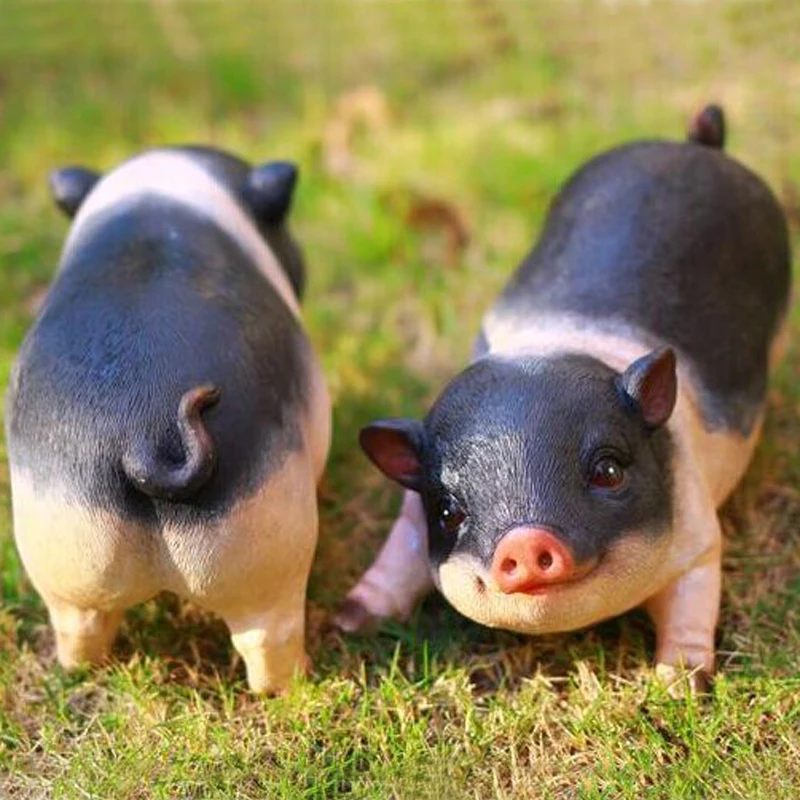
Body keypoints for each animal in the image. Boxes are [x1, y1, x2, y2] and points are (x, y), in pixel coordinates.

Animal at [6, 146, 331, 693]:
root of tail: (142, 439)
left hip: (62, 560)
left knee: (79, 628)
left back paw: (83, 671)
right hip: (272, 558)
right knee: (268, 639)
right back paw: (295, 684)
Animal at [336, 106, 791, 690]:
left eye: (609, 471)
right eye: (448, 509)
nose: (523, 543)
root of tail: (697, 144)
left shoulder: (698, 537)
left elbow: (693, 599)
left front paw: (677, 683)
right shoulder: (410, 520)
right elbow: (398, 557)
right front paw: (350, 622)